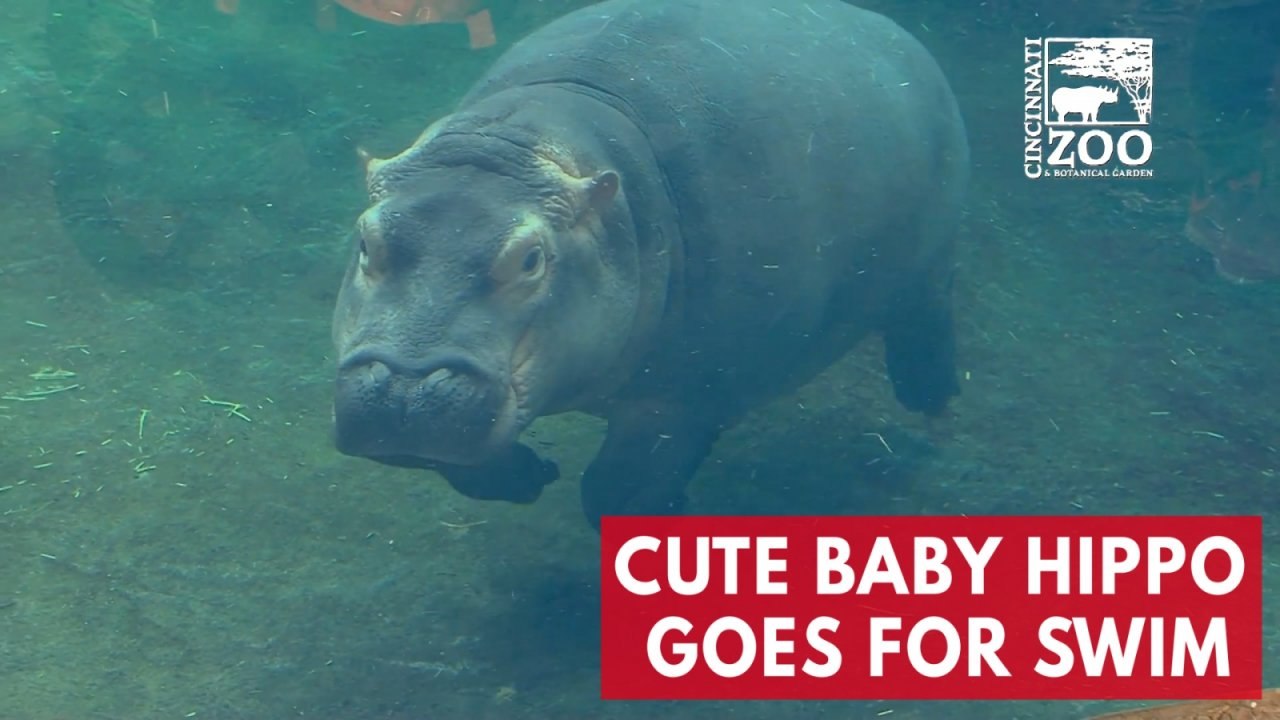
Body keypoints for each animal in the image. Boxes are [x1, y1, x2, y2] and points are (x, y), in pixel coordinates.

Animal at [330, 0, 969, 529]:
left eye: (531, 259)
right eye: (366, 239)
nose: (402, 394)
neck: (532, 141)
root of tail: (893, 32)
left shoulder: (690, 390)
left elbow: (614, 491)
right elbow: (461, 462)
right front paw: (530, 477)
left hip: (932, 260)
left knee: (927, 329)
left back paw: (933, 415)